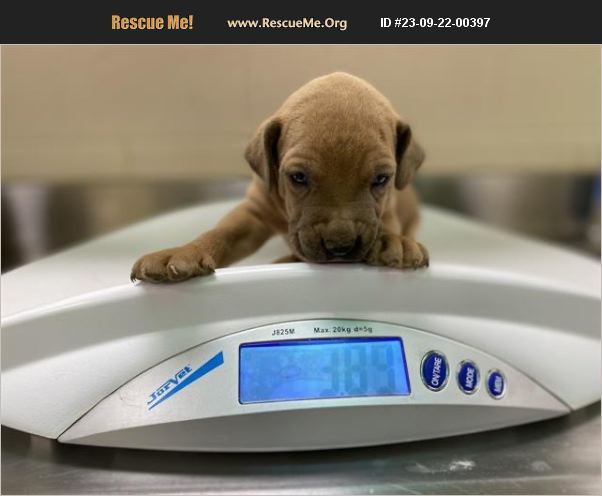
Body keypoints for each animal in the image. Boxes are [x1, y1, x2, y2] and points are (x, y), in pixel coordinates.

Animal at [130, 72, 429, 283]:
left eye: (381, 179)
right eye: (298, 177)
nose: (340, 248)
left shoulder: (387, 211)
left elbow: (386, 226)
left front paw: (394, 242)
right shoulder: (254, 211)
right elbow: (222, 233)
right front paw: (186, 251)